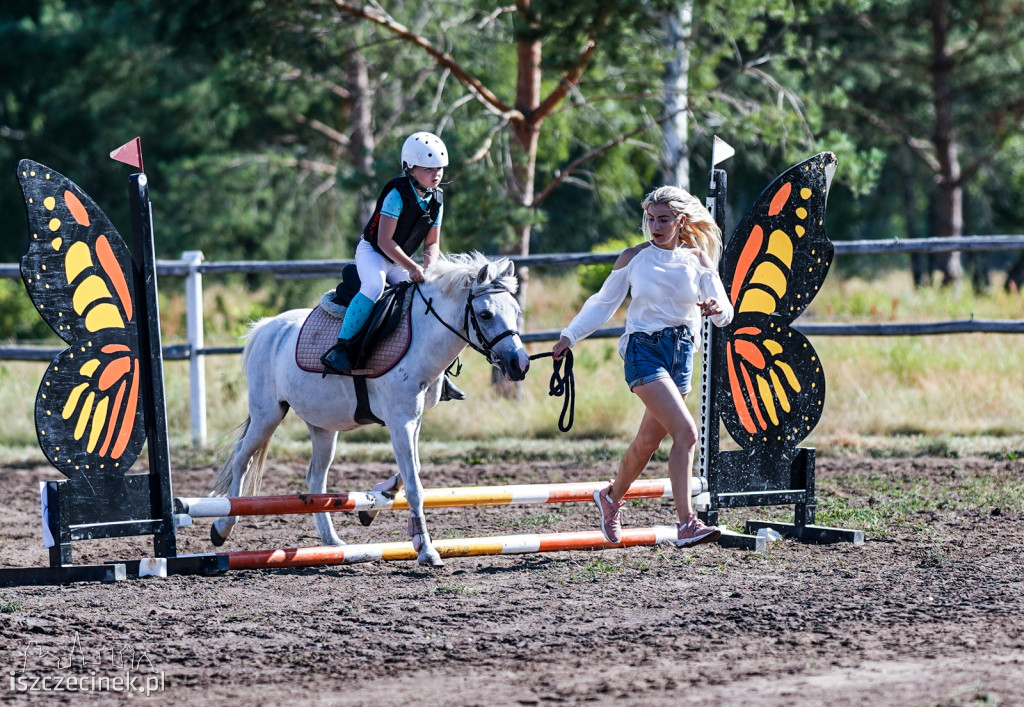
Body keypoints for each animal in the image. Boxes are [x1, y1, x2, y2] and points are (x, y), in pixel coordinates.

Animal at [207, 251, 528, 565]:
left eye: (516, 312)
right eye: (485, 314)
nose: (519, 364)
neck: (423, 338)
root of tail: (267, 327)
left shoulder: (413, 420)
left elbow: (412, 470)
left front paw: (374, 505)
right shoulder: (401, 421)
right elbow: (414, 485)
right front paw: (426, 550)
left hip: (323, 426)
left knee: (315, 478)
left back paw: (332, 543)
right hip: (268, 414)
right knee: (242, 459)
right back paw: (222, 528)